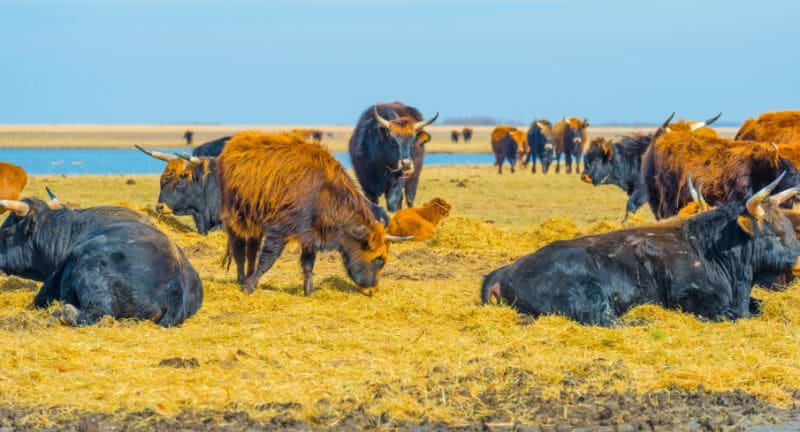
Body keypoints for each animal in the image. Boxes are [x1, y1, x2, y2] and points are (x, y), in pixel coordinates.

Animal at [217, 130, 412, 296]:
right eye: (379, 259)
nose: (372, 289)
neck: (324, 194)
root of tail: (233, 143)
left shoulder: (310, 235)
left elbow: (309, 263)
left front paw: (309, 291)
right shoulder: (279, 231)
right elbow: (268, 259)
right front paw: (249, 287)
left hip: (255, 223)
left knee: (251, 248)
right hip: (236, 217)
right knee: (238, 248)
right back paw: (242, 279)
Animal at [482, 176, 800, 328]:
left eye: (786, 224)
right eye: (770, 230)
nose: (796, 258)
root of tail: (504, 271)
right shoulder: (695, 300)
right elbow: (732, 314)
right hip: (589, 295)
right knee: (603, 319)